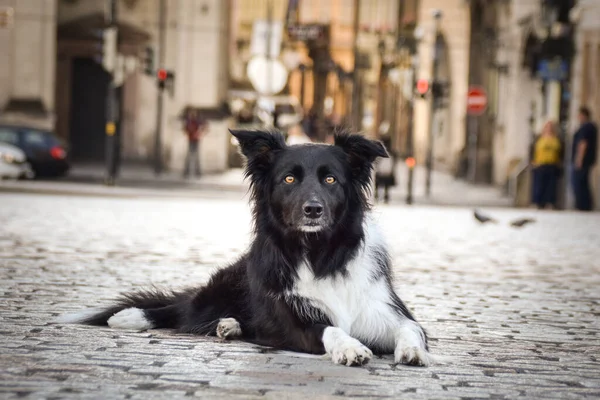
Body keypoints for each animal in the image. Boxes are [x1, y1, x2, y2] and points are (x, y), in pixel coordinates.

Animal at [57, 130, 432, 368]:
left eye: (330, 180)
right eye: (289, 179)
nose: (313, 209)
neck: (319, 252)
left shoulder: (386, 311)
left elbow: (411, 329)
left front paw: (414, 351)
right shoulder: (294, 320)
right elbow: (329, 328)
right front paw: (351, 347)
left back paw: (229, 326)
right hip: (218, 291)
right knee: (182, 310)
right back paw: (132, 316)